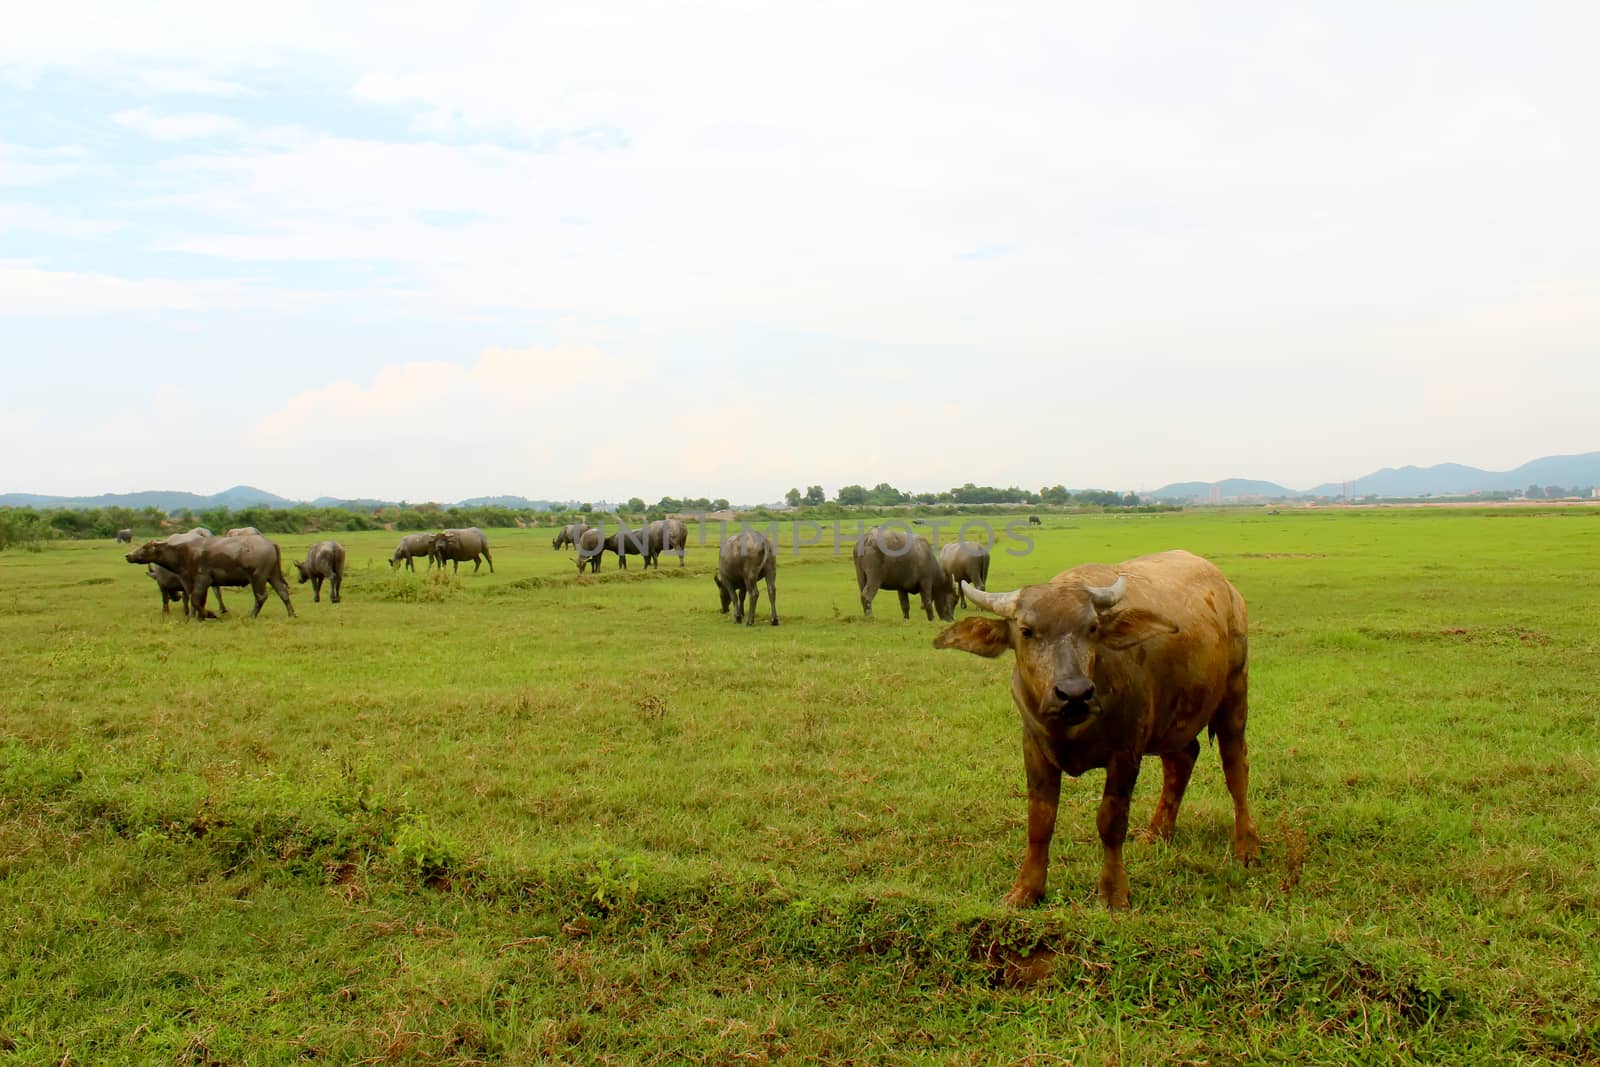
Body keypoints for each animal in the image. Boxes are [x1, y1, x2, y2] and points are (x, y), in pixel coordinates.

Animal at [126, 531, 296, 617]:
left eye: (144, 548)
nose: (128, 555)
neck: (184, 553)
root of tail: (270, 543)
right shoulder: (190, 582)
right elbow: (196, 600)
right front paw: (194, 617)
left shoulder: (203, 579)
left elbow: (195, 600)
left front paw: (210, 614)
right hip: (273, 574)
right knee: (282, 591)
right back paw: (291, 614)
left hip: (258, 577)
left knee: (261, 596)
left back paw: (252, 615)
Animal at [934, 550, 1260, 908]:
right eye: (1026, 630)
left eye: (1091, 628)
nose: (1074, 693)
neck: (1069, 727)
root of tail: (1229, 591)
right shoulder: (1034, 748)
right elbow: (1040, 821)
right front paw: (1026, 890)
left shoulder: (1125, 752)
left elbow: (1111, 821)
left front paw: (1114, 892)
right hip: (1173, 717)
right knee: (1182, 760)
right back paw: (1156, 834)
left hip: (1235, 694)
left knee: (1236, 770)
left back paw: (1247, 847)